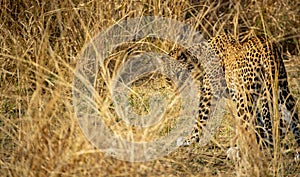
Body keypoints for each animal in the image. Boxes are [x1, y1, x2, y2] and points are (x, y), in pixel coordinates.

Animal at [169, 33, 300, 160]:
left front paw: (189, 140)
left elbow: (199, 119)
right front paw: (261, 141)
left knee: (248, 125)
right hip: (282, 90)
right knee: (293, 117)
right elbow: (259, 122)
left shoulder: (208, 94)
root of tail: (267, 50)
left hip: (245, 97)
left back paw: (239, 152)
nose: (173, 89)